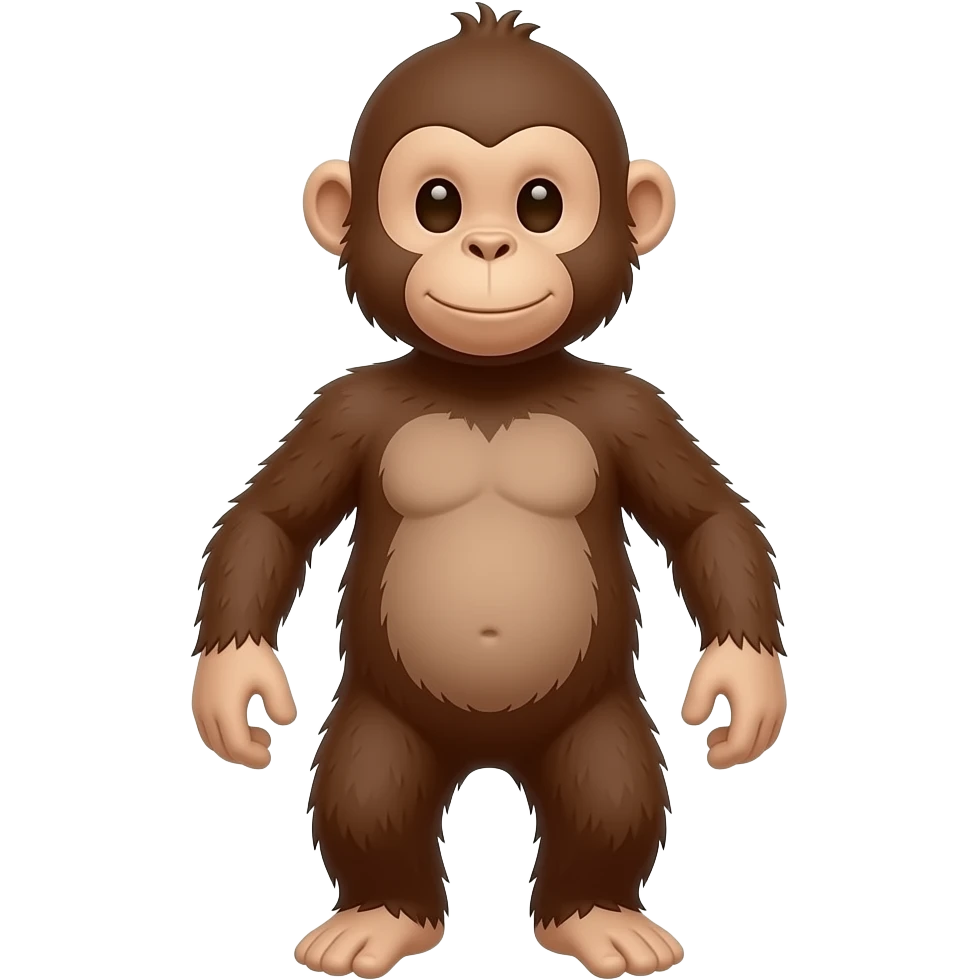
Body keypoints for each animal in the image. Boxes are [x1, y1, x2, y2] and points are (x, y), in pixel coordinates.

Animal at [190, 5, 786, 979]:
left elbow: (707, 520)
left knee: (610, 788)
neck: (489, 385)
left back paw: (597, 915)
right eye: (438, 203)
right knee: (368, 786)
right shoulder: (343, 409)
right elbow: (270, 520)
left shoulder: (634, 409)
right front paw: (232, 684)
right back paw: (380, 915)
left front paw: (745, 683)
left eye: (541, 202)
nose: (490, 245)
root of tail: (488, 752)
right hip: (384, 721)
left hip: (595, 721)